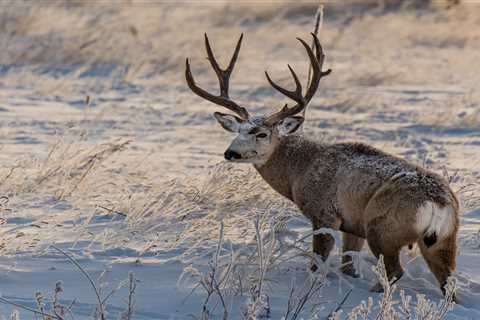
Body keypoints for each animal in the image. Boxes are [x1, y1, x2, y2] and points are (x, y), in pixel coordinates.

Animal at [184, 33, 458, 296]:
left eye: (261, 133)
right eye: (238, 130)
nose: (230, 153)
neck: (300, 170)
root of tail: (439, 203)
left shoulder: (324, 214)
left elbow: (317, 264)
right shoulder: (352, 225)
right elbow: (348, 266)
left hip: (382, 228)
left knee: (394, 272)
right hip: (442, 240)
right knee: (447, 283)